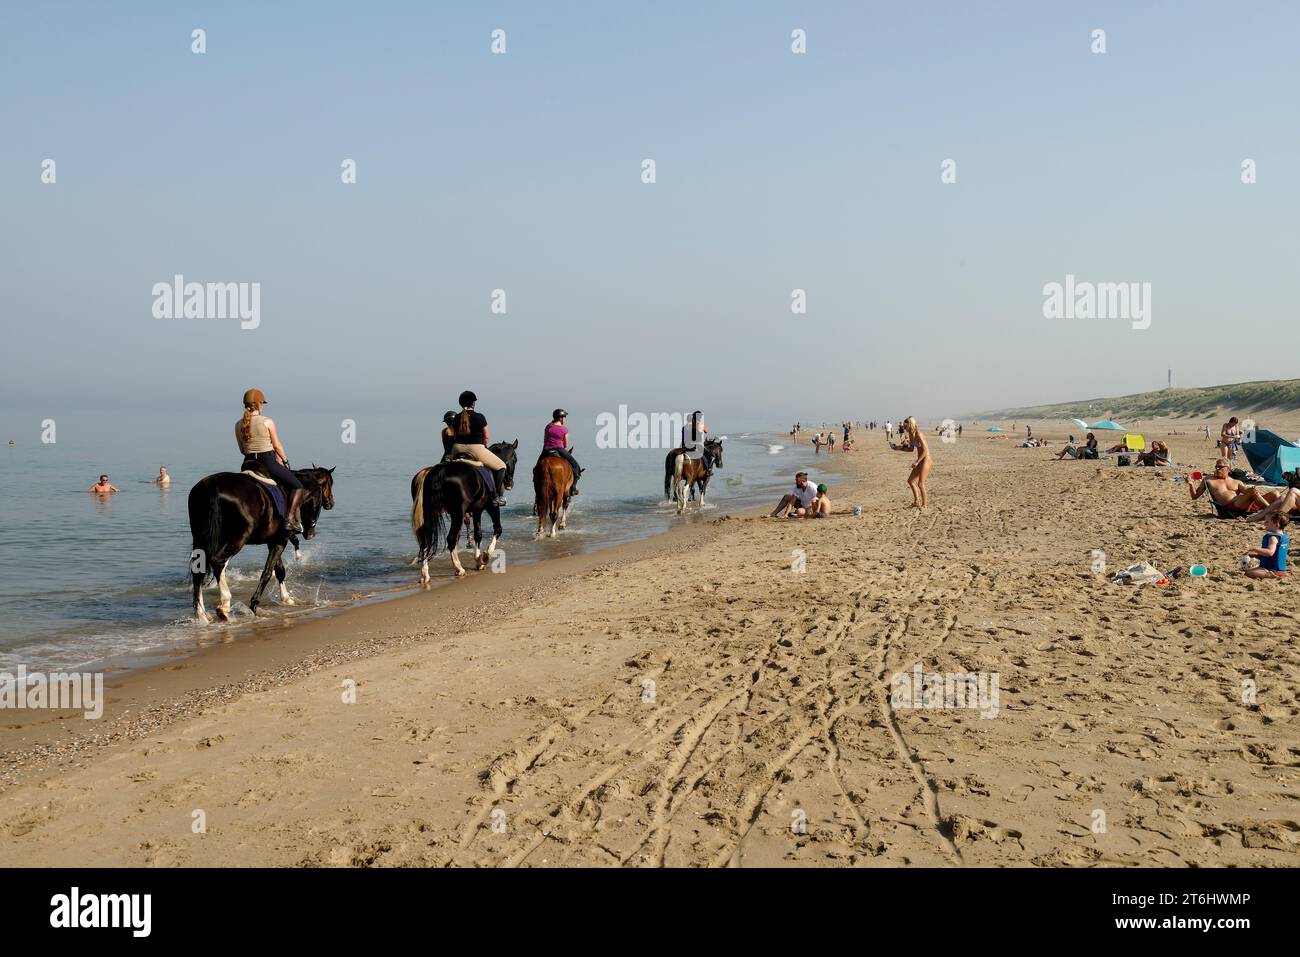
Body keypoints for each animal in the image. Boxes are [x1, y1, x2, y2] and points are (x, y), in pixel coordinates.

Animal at [191, 462, 338, 621]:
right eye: (329, 485)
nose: (331, 503)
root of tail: (213, 488)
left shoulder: (273, 540)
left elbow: (279, 570)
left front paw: (287, 599)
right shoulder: (280, 540)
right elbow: (268, 572)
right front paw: (254, 605)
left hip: (200, 538)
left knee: (199, 568)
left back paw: (202, 614)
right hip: (237, 538)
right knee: (218, 562)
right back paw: (224, 604)